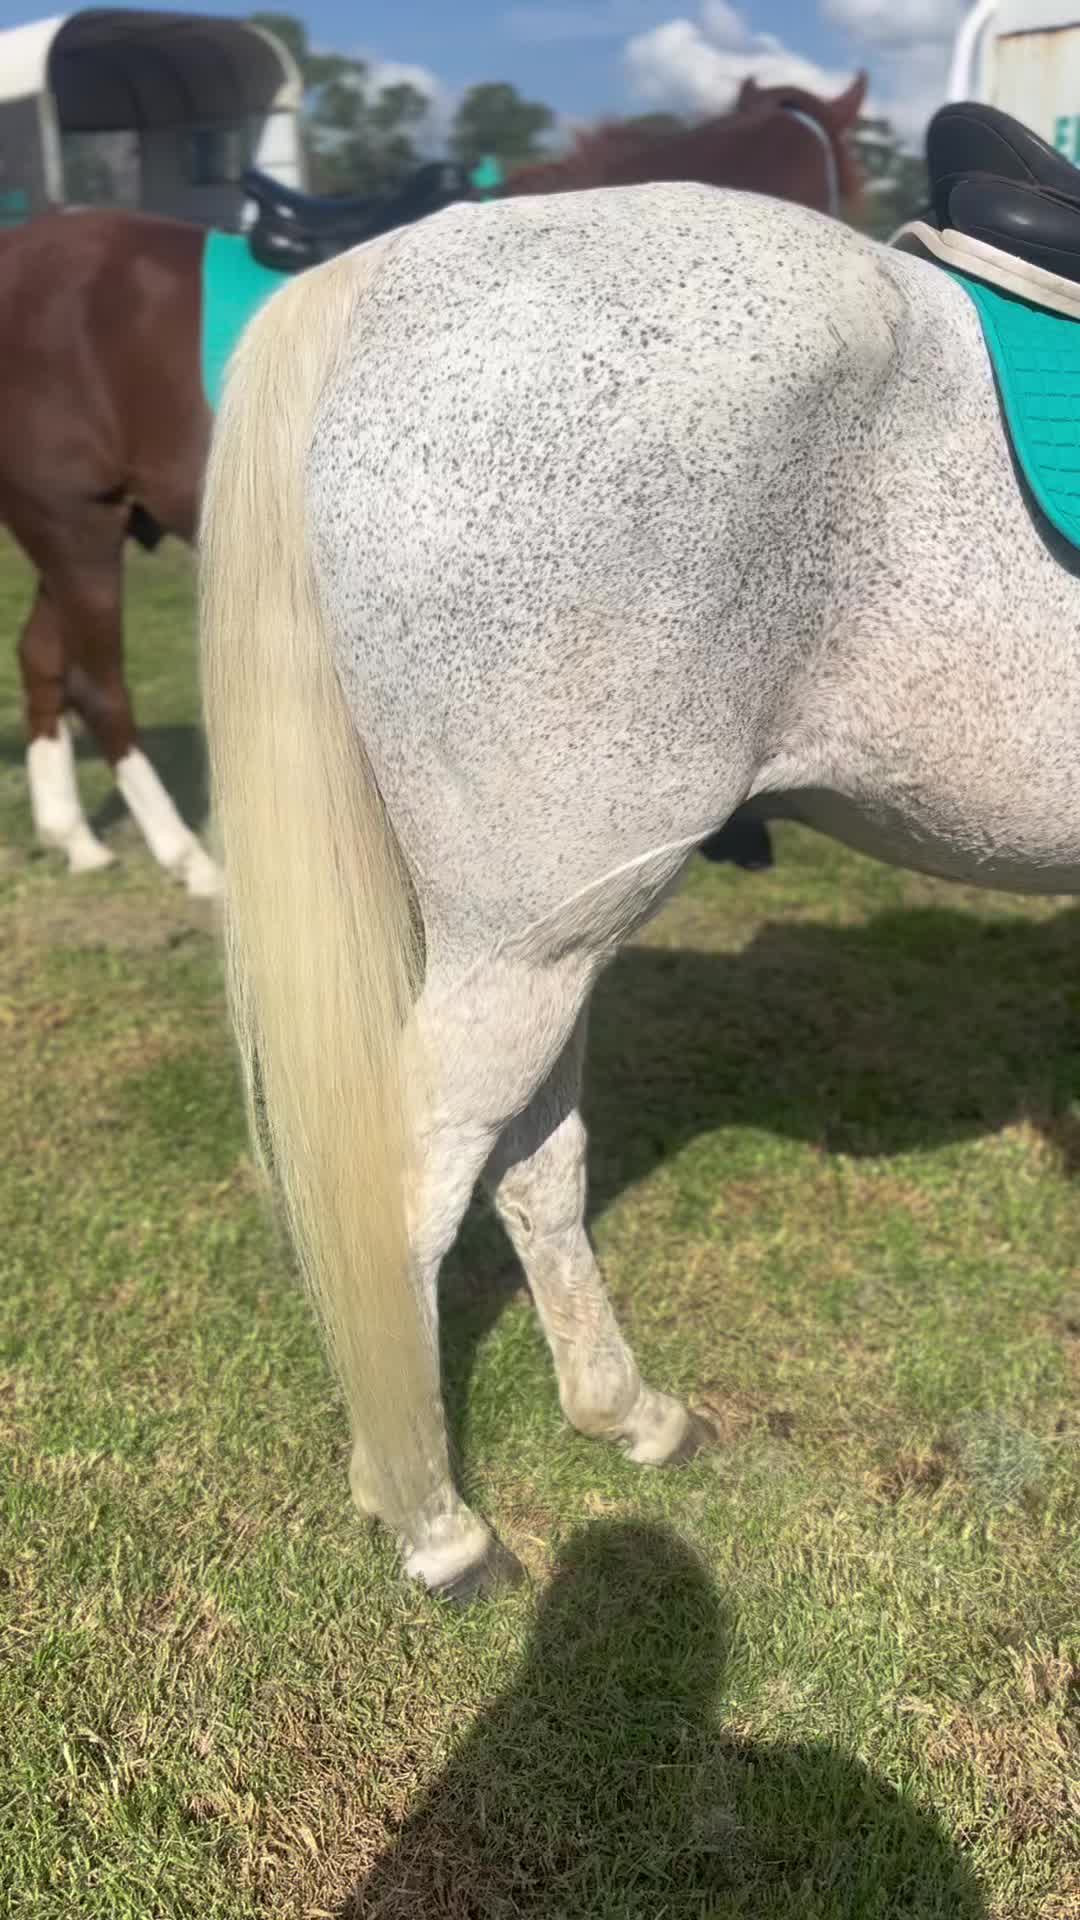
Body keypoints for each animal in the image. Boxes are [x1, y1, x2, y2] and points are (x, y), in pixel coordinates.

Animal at [0, 75, 866, 893]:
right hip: (75, 526)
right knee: (98, 684)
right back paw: (181, 852)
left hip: (74, 527)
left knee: (41, 657)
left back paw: (72, 836)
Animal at [199, 177, 1080, 1602]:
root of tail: (401, 268)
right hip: (528, 947)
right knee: (413, 1199)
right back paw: (437, 1522)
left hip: (553, 939)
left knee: (536, 1171)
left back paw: (625, 1413)